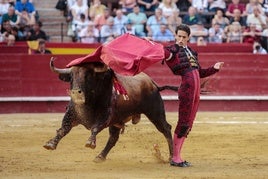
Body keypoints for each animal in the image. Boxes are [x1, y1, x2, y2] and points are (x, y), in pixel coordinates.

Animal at [44, 57, 176, 162]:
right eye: (71, 77)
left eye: (88, 76)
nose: (76, 92)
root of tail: (153, 83)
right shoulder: (70, 114)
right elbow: (63, 129)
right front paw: (50, 144)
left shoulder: (105, 116)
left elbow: (95, 127)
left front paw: (90, 142)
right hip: (117, 121)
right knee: (113, 138)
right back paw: (100, 156)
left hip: (155, 113)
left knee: (166, 129)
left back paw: (172, 157)